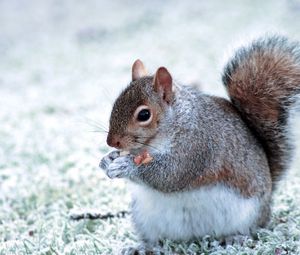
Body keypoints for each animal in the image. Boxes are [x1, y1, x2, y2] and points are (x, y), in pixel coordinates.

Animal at [100, 35, 300, 253]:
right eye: (115, 104)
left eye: (144, 114)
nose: (111, 142)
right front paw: (107, 160)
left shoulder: (198, 146)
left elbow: (170, 175)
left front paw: (126, 166)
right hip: (145, 217)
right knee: (158, 240)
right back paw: (144, 247)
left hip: (249, 214)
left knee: (252, 229)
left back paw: (236, 238)